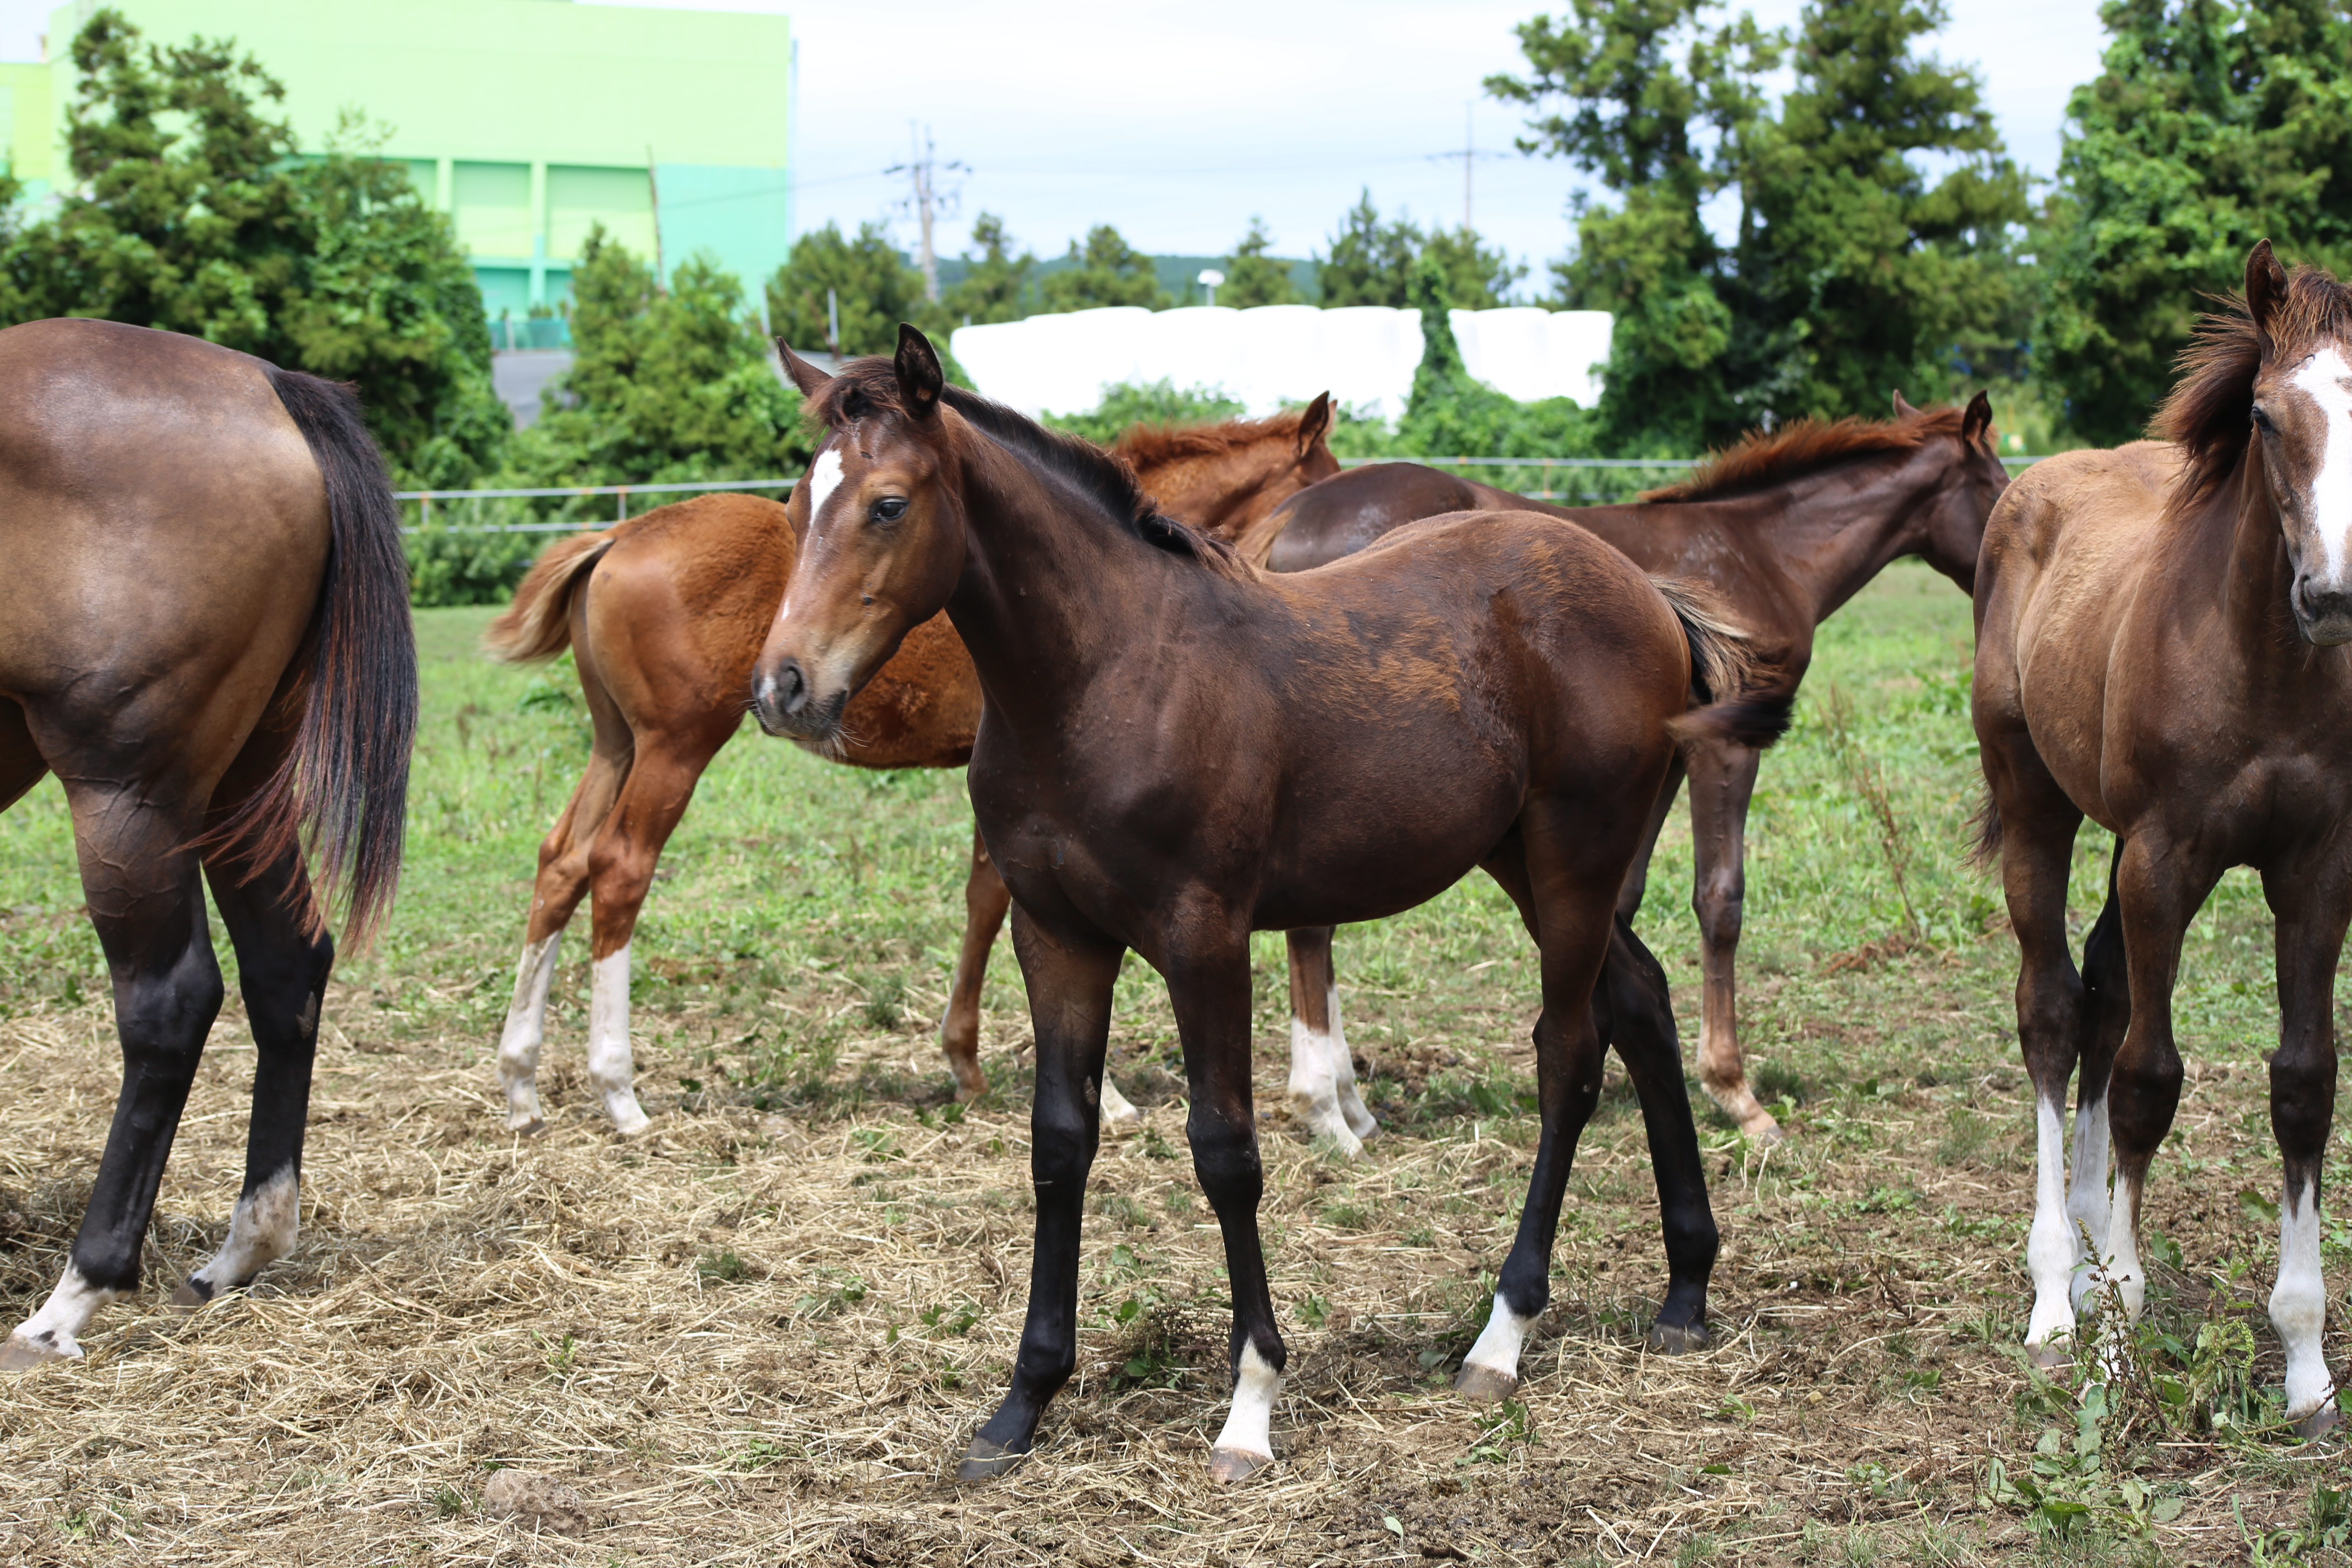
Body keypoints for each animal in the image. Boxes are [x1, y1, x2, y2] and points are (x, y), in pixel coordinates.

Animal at [0, 315, 414, 1363]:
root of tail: (267, 385)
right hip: (242, 790)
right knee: (287, 965)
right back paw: (244, 1248)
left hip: (129, 802)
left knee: (170, 1003)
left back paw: (74, 1296)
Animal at [480, 395, 1336, 1128]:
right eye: (1324, 480)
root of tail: (617, 537)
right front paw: (1109, 1096)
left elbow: (985, 898)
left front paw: (966, 1065)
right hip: (674, 745)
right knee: (620, 865)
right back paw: (618, 1092)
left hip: (616, 744)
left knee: (562, 860)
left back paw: (521, 1081)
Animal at [748, 331, 1778, 1486]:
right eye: (794, 507)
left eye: (887, 503)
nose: (783, 689)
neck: (1105, 676)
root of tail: (1642, 587)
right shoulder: (1055, 933)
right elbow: (1058, 1144)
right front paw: (1020, 1406)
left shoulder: (1203, 934)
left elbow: (1225, 1151)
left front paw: (1250, 1405)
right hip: (1527, 861)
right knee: (1639, 999)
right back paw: (1685, 1290)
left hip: (1573, 864)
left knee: (1569, 1058)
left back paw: (1501, 1337)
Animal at [1251, 390, 2004, 1142]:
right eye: (1998, 485)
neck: (1763, 556)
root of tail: (1287, 518)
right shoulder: (1726, 745)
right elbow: (1720, 899)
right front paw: (1735, 1092)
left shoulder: (1652, 760)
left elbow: (1624, 892)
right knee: (1313, 928)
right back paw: (1330, 1109)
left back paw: (1350, 1105)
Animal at [1976, 236, 2342, 1439]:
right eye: (2266, 416)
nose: (2333, 590)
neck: (2259, 663)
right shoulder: (2164, 858)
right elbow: (2147, 1078)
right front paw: (2119, 1340)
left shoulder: (2317, 871)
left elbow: (2302, 1082)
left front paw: (2306, 1368)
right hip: (2039, 807)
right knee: (2053, 1012)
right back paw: (2058, 1289)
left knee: (2098, 991)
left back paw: (2092, 1251)